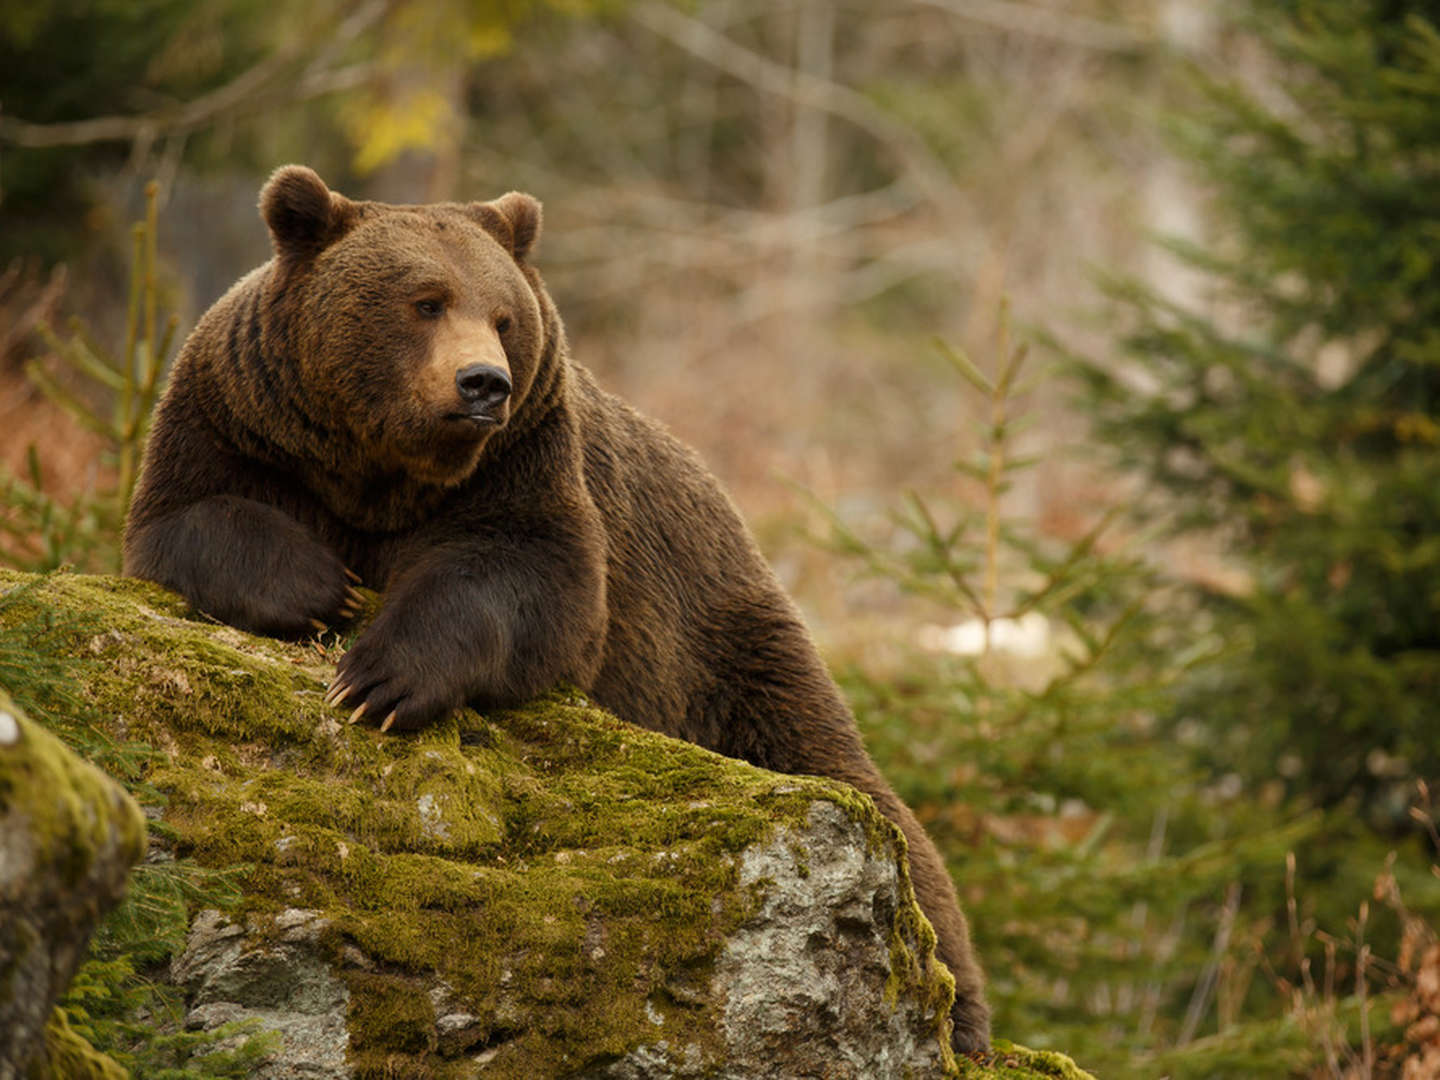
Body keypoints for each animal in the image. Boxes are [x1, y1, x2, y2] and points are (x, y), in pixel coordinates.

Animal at [123, 164, 990, 1054]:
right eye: (425, 300)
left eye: (503, 317)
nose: (483, 382)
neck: (382, 471)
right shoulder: (240, 421)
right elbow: (190, 516)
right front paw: (320, 589)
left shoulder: (525, 464)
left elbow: (530, 581)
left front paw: (380, 679)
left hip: (723, 650)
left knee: (870, 808)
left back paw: (955, 1009)